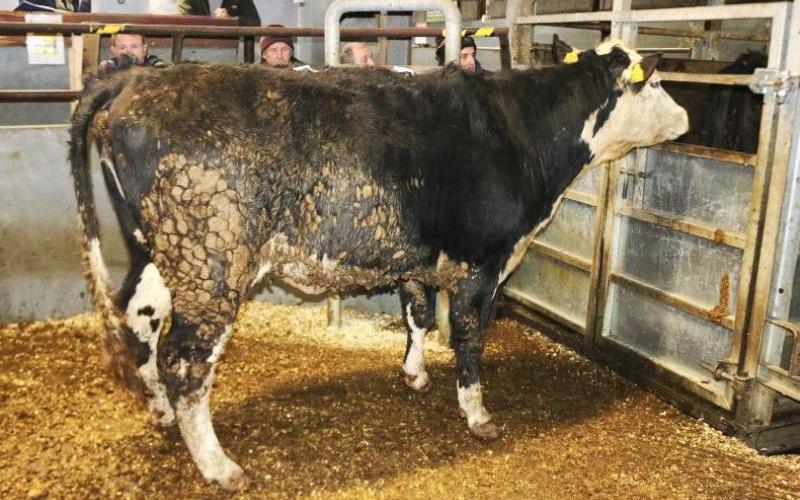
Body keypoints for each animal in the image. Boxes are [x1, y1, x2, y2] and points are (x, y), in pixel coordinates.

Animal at [69, 36, 688, 490]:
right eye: (657, 81)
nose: (686, 119)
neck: (525, 131)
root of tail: (136, 78)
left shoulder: (418, 257)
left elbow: (419, 315)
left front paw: (415, 373)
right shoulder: (484, 262)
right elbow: (468, 337)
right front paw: (477, 415)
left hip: (162, 253)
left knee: (140, 319)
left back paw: (161, 415)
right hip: (212, 263)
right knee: (185, 360)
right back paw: (219, 466)